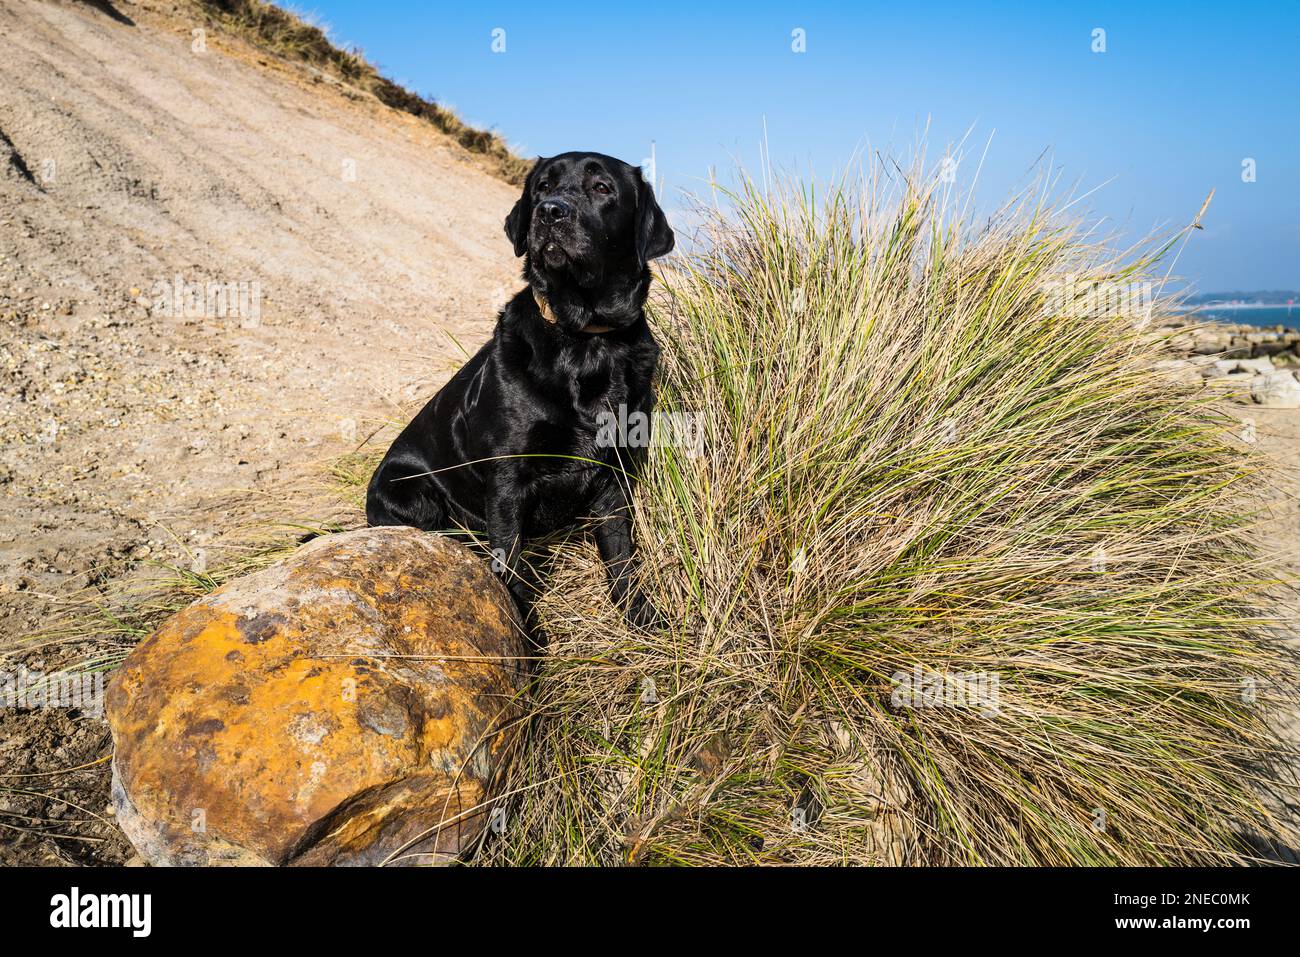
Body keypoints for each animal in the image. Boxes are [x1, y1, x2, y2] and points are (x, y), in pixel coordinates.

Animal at [364, 151, 676, 642]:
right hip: (411, 491)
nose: (549, 212)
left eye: (602, 188)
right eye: (542, 186)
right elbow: (508, 567)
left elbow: (622, 555)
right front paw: (527, 638)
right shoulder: (507, 480)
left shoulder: (615, 475)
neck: (585, 341)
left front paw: (641, 618)